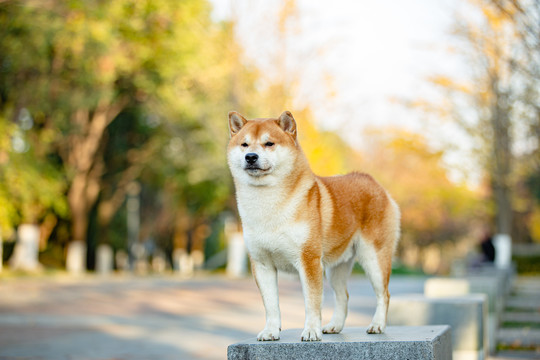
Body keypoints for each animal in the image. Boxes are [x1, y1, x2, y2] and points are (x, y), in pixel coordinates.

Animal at [226, 111, 398, 342]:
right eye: (244, 144)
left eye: (269, 143)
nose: (251, 157)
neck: (268, 206)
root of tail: (375, 184)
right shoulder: (262, 264)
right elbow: (271, 305)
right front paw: (271, 331)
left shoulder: (309, 261)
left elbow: (312, 302)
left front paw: (311, 331)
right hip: (337, 268)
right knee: (343, 296)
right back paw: (334, 326)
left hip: (374, 258)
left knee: (384, 294)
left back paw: (377, 325)